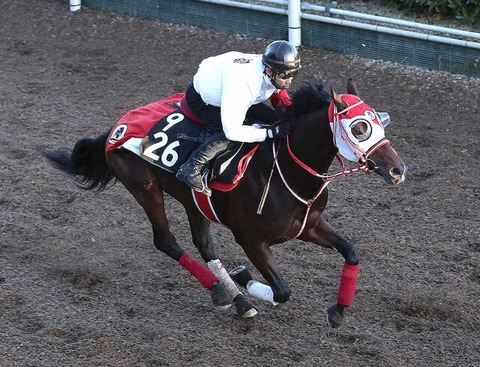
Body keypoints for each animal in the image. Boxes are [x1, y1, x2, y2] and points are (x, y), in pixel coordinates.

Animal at [41, 77, 406, 328]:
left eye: (380, 120)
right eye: (360, 127)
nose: (398, 169)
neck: (284, 169)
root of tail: (117, 126)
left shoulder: (309, 225)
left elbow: (351, 251)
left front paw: (338, 310)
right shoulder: (251, 240)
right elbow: (282, 291)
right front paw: (245, 280)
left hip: (192, 201)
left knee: (204, 245)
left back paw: (230, 293)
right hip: (145, 188)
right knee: (166, 241)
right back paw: (231, 297)